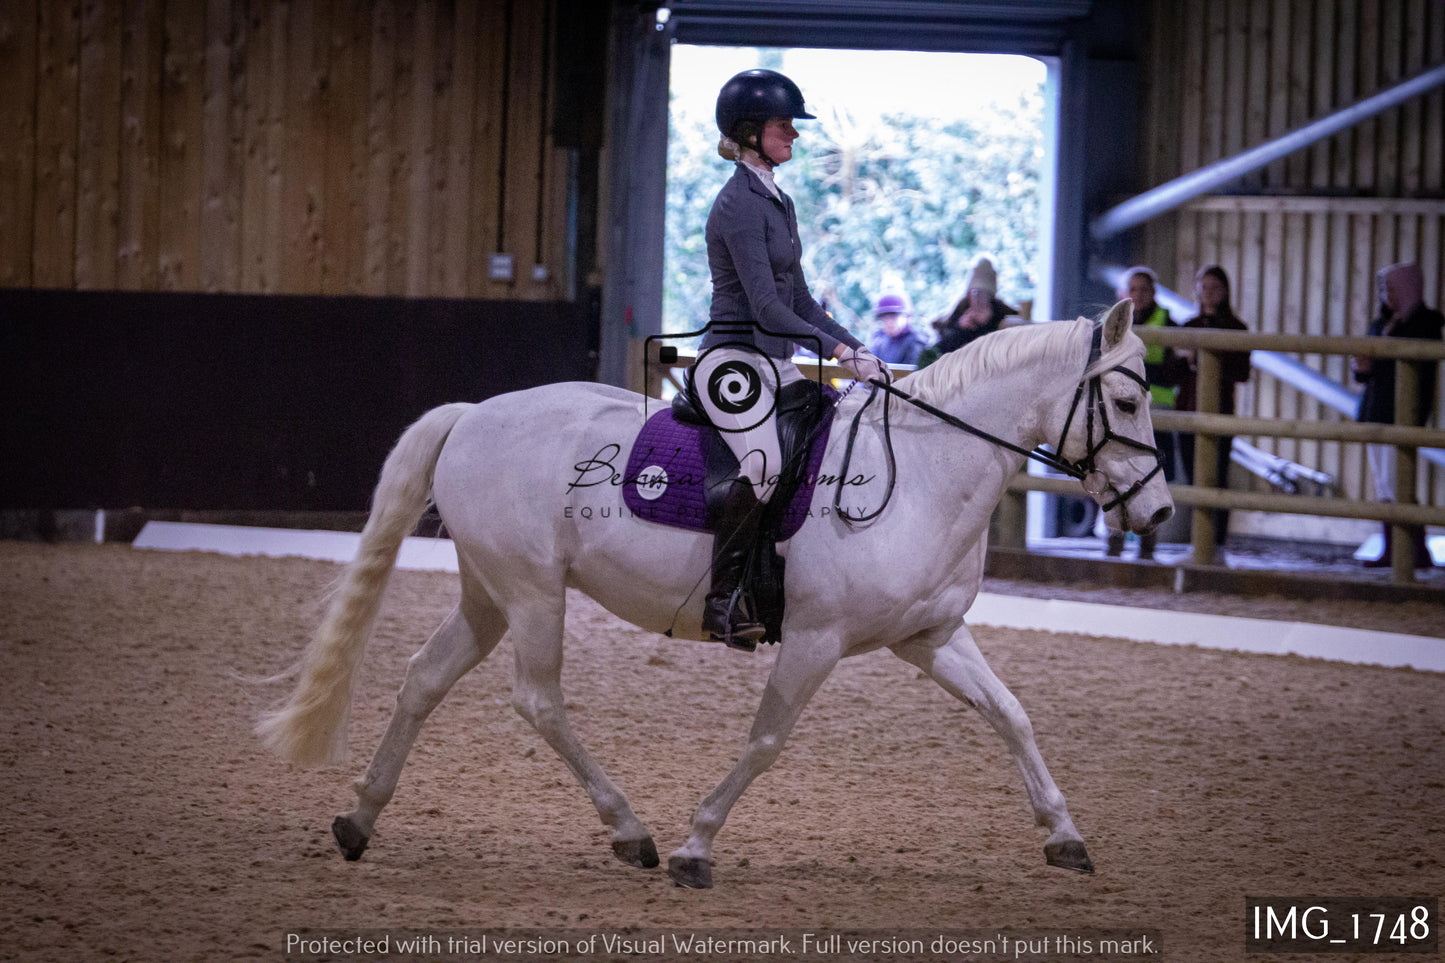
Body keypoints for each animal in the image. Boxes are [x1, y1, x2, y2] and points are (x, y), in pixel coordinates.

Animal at [260, 297, 1173, 884]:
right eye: (1128, 397)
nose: (1158, 511)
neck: (921, 470)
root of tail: (473, 413)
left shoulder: (930, 635)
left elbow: (1010, 714)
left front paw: (1064, 836)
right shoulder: (813, 639)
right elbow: (767, 740)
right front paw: (696, 847)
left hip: (488, 592)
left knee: (424, 677)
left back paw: (359, 818)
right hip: (532, 591)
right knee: (538, 699)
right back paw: (631, 831)